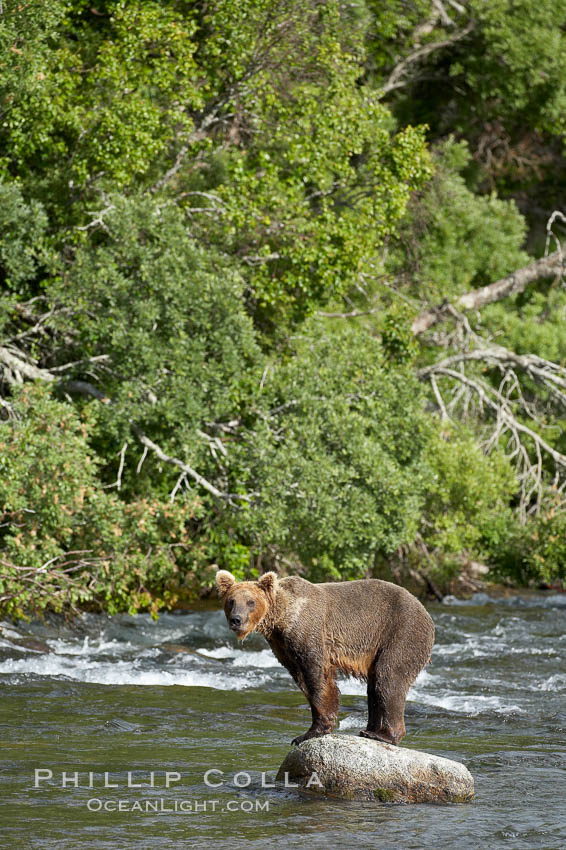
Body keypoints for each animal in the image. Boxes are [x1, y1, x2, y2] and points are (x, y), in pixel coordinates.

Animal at [216, 568, 434, 744]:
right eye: (231, 601)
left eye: (250, 602)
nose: (236, 620)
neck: (282, 618)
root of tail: (425, 610)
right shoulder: (282, 646)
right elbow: (303, 680)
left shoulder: (309, 632)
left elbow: (317, 676)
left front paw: (310, 732)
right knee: (374, 685)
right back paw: (369, 729)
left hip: (401, 631)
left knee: (388, 677)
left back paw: (384, 735)